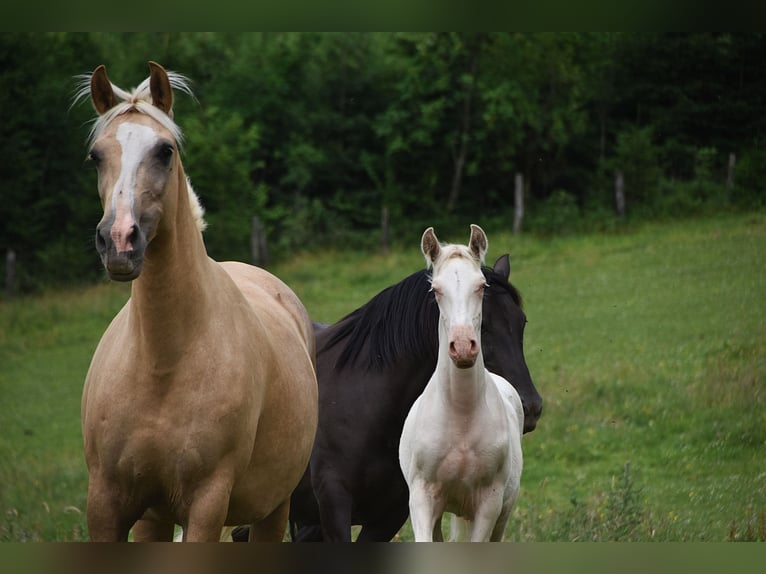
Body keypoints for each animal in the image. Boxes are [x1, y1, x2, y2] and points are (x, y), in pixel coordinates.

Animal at [75, 62, 318, 541]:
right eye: (96, 155)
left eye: (164, 150)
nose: (119, 241)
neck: (161, 361)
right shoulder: (106, 504)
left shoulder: (206, 505)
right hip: (154, 519)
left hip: (273, 508)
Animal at [399, 225, 524, 542]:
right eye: (436, 290)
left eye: (481, 286)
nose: (464, 347)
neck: (461, 415)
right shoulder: (421, 499)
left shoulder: (488, 505)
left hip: (502, 513)